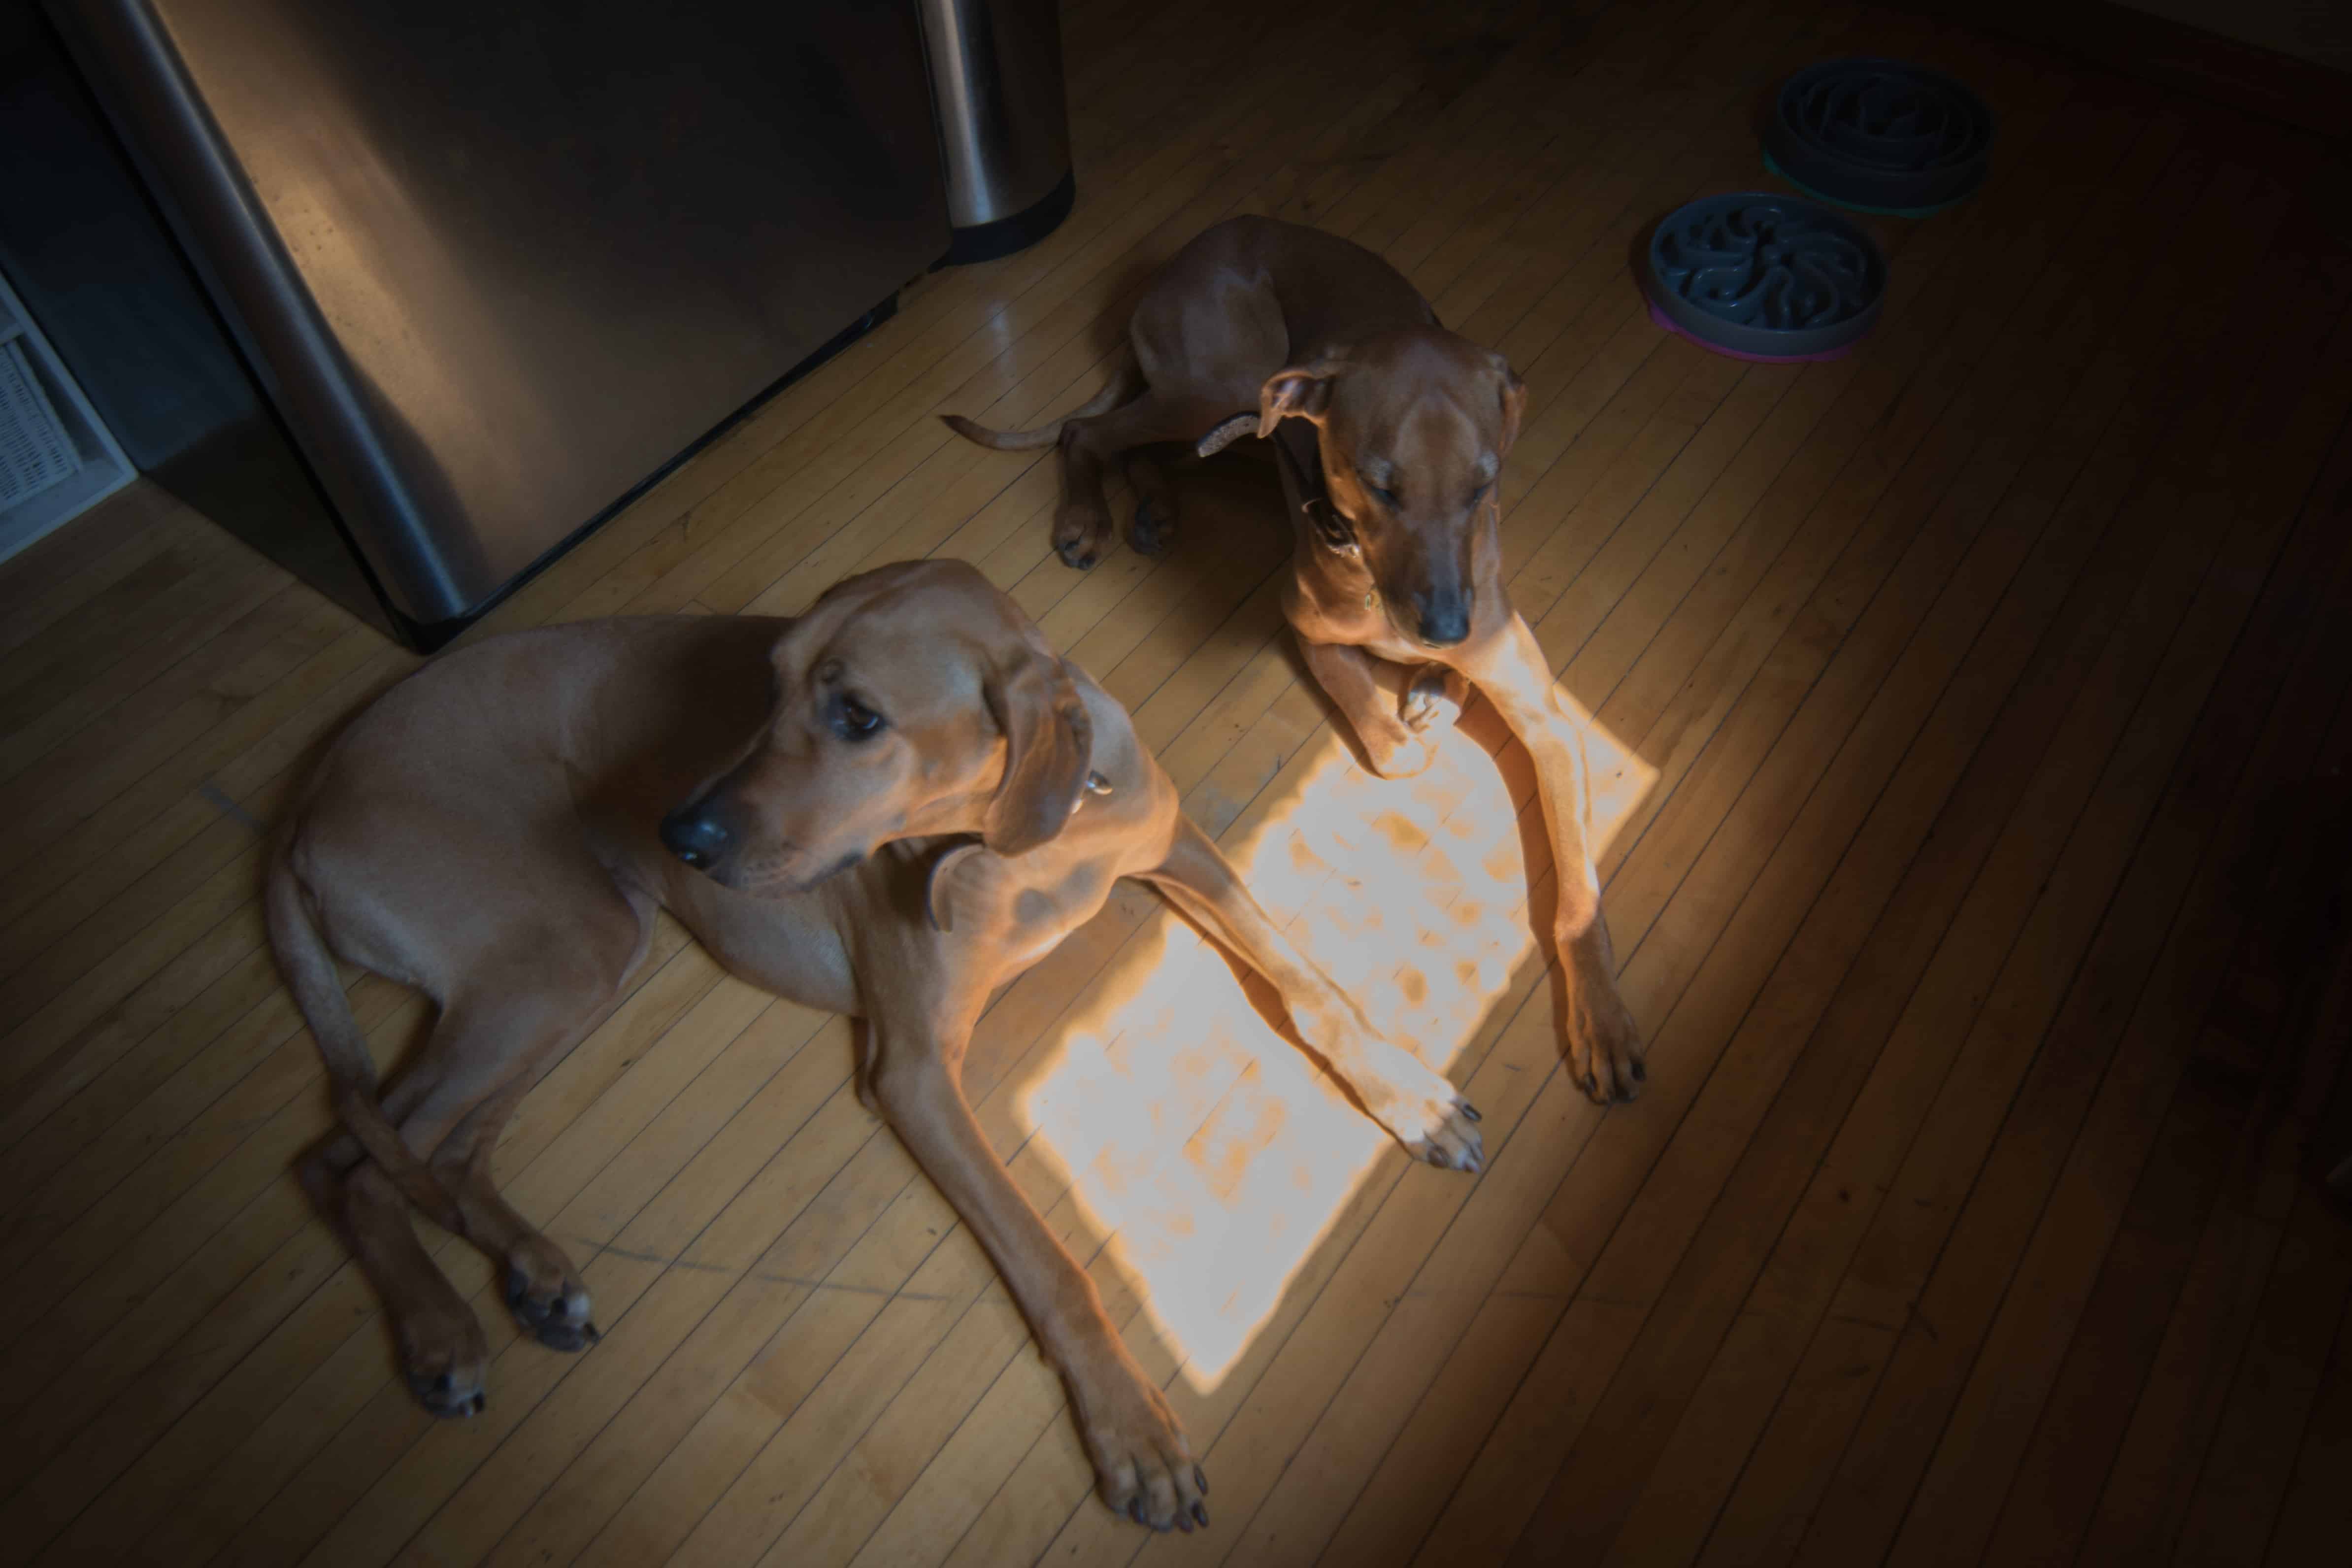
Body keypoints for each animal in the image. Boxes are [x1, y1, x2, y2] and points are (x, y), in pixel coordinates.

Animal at [931, 217, 1637, 1104]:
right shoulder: (1303, 627)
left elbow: (1578, 890)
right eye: (1380, 484)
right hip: (1225, 384)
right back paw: (1087, 514)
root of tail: (1188, 252)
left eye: (1483, 485)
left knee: (1155, 447)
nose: (1443, 628)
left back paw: (1154, 505)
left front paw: (1603, 1020)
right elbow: (1385, 736)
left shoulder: (1544, 712)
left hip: (1237, 422)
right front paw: (1407, 711)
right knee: (1087, 430)